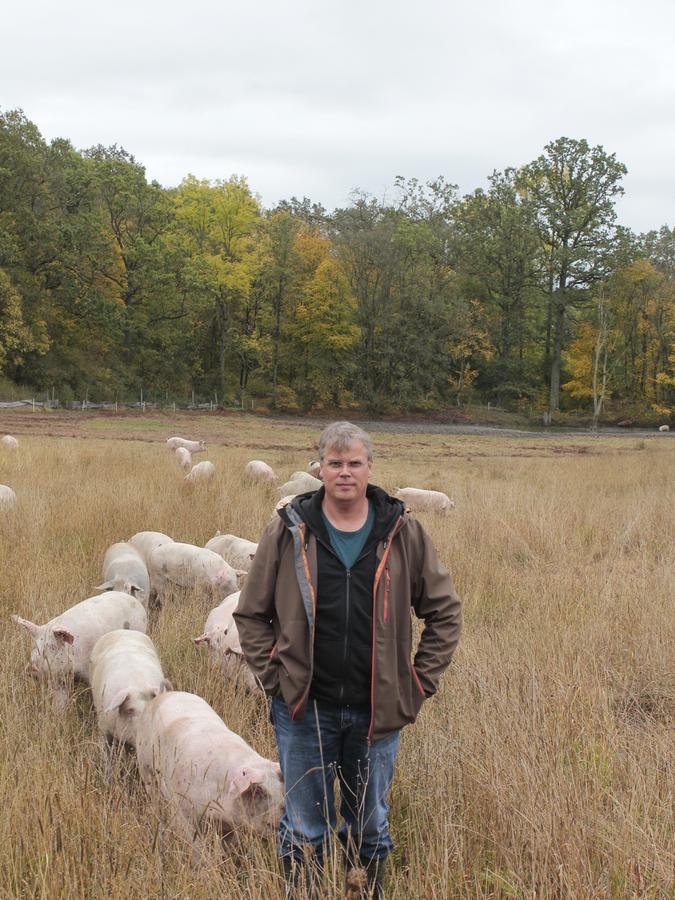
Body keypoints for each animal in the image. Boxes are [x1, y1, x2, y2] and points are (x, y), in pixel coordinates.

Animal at [12, 592, 147, 712]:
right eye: (34, 647)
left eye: (52, 647)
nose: (31, 668)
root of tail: (132, 599)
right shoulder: (60, 680)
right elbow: (60, 703)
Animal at [135, 684, 286, 856]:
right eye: (258, 791)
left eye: (281, 788)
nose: (284, 810)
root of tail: (164, 695)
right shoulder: (184, 813)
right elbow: (196, 847)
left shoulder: (229, 826)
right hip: (146, 767)